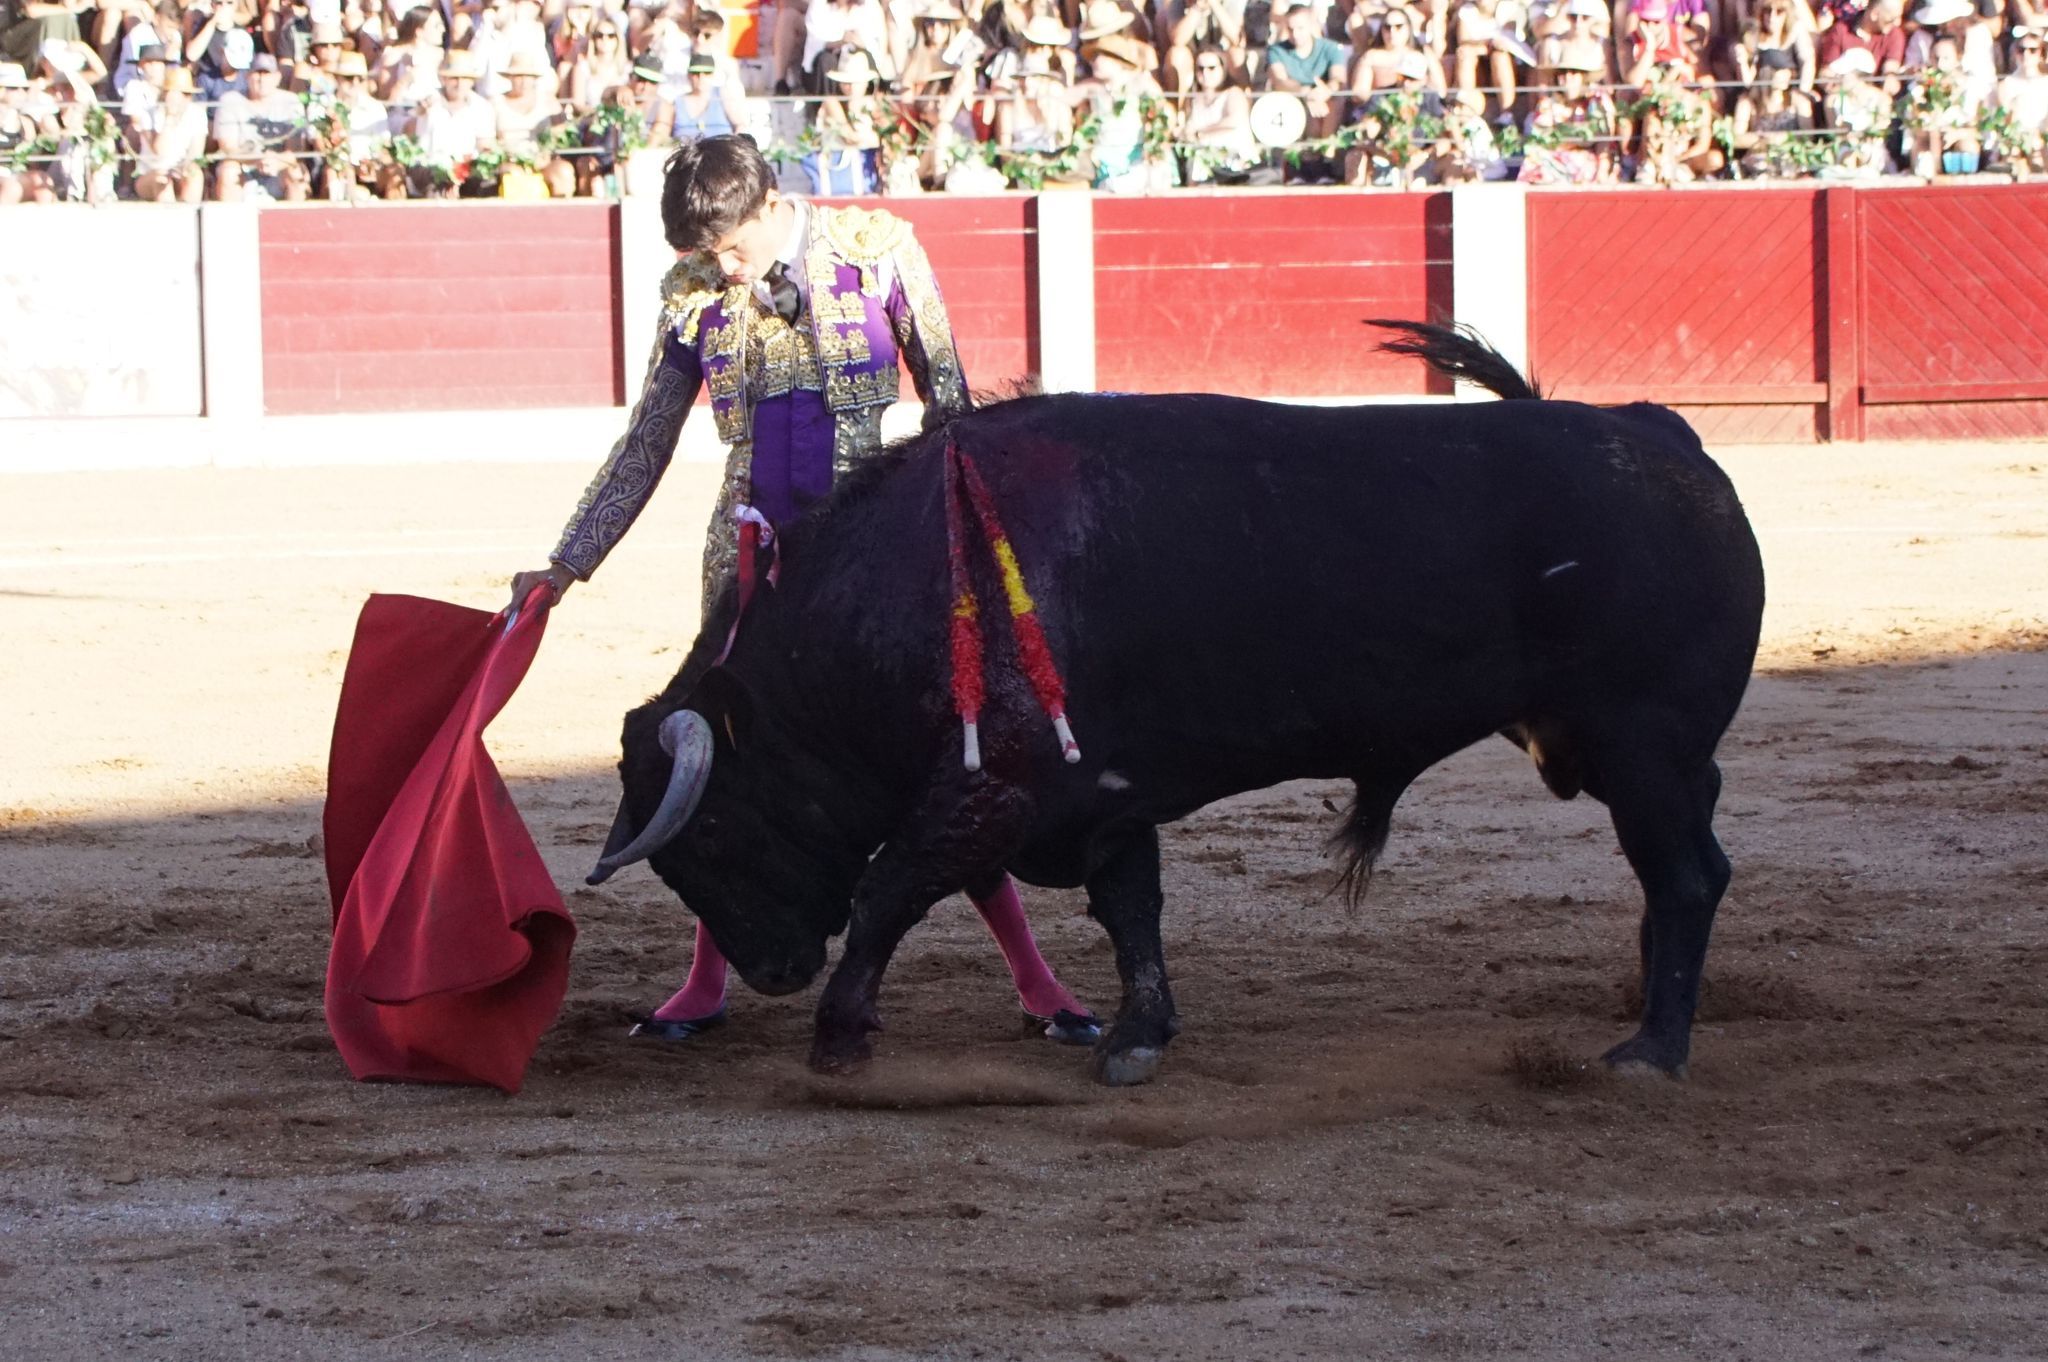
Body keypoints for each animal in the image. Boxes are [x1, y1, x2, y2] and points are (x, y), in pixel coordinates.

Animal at [598, 327, 1769, 1081]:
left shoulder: (994, 790)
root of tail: (1664, 438)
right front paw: (1136, 1038)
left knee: (1687, 877)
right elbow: (1132, 914)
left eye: (714, 836)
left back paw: (1650, 1052)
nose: (774, 973)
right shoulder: (1104, 798)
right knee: (1680, 872)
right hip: (1636, 756)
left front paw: (840, 1035)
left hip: (1644, 747)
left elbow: (890, 890)